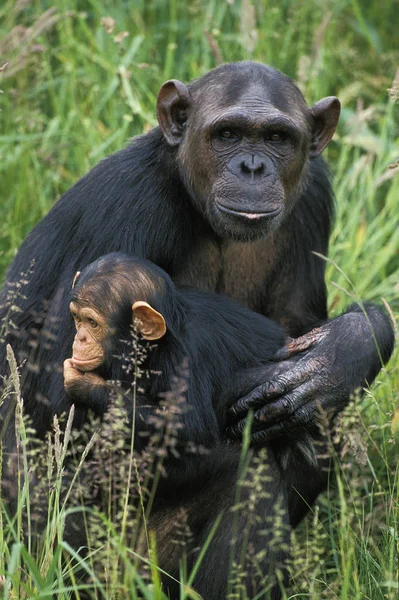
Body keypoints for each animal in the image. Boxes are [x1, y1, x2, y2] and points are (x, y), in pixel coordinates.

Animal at [0, 62, 396, 524]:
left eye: (277, 138)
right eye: (226, 134)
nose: (253, 166)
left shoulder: (313, 196)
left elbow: (296, 324)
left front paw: (346, 350)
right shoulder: (123, 203)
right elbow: (56, 402)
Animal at [63, 251, 294, 596]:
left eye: (92, 322)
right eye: (76, 318)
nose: (79, 337)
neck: (155, 346)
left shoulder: (184, 359)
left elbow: (188, 427)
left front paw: (84, 383)